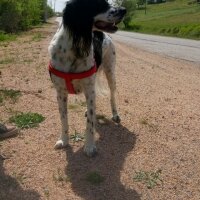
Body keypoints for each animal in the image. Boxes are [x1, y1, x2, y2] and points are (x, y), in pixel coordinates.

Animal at [48, 0, 126, 156]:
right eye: (99, 4)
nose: (124, 10)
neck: (75, 47)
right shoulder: (60, 93)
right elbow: (63, 119)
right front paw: (64, 140)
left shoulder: (89, 90)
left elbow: (90, 122)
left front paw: (89, 146)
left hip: (110, 73)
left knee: (112, 96)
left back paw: (115, 114)